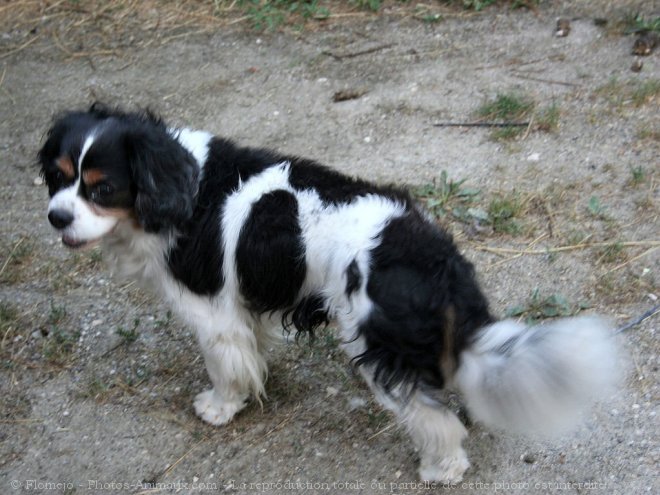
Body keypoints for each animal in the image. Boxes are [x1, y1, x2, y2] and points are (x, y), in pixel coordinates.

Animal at [40, 103, 620, 484]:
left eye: (102, 188)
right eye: (60, 177)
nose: (56, 218)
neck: (179, 183)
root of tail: (429, 251)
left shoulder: (212, 314)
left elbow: (226, 368)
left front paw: (222, 407)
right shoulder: (242, 304)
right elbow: (251, 352)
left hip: (376, 345)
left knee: (432, 416)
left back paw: (443, 467)